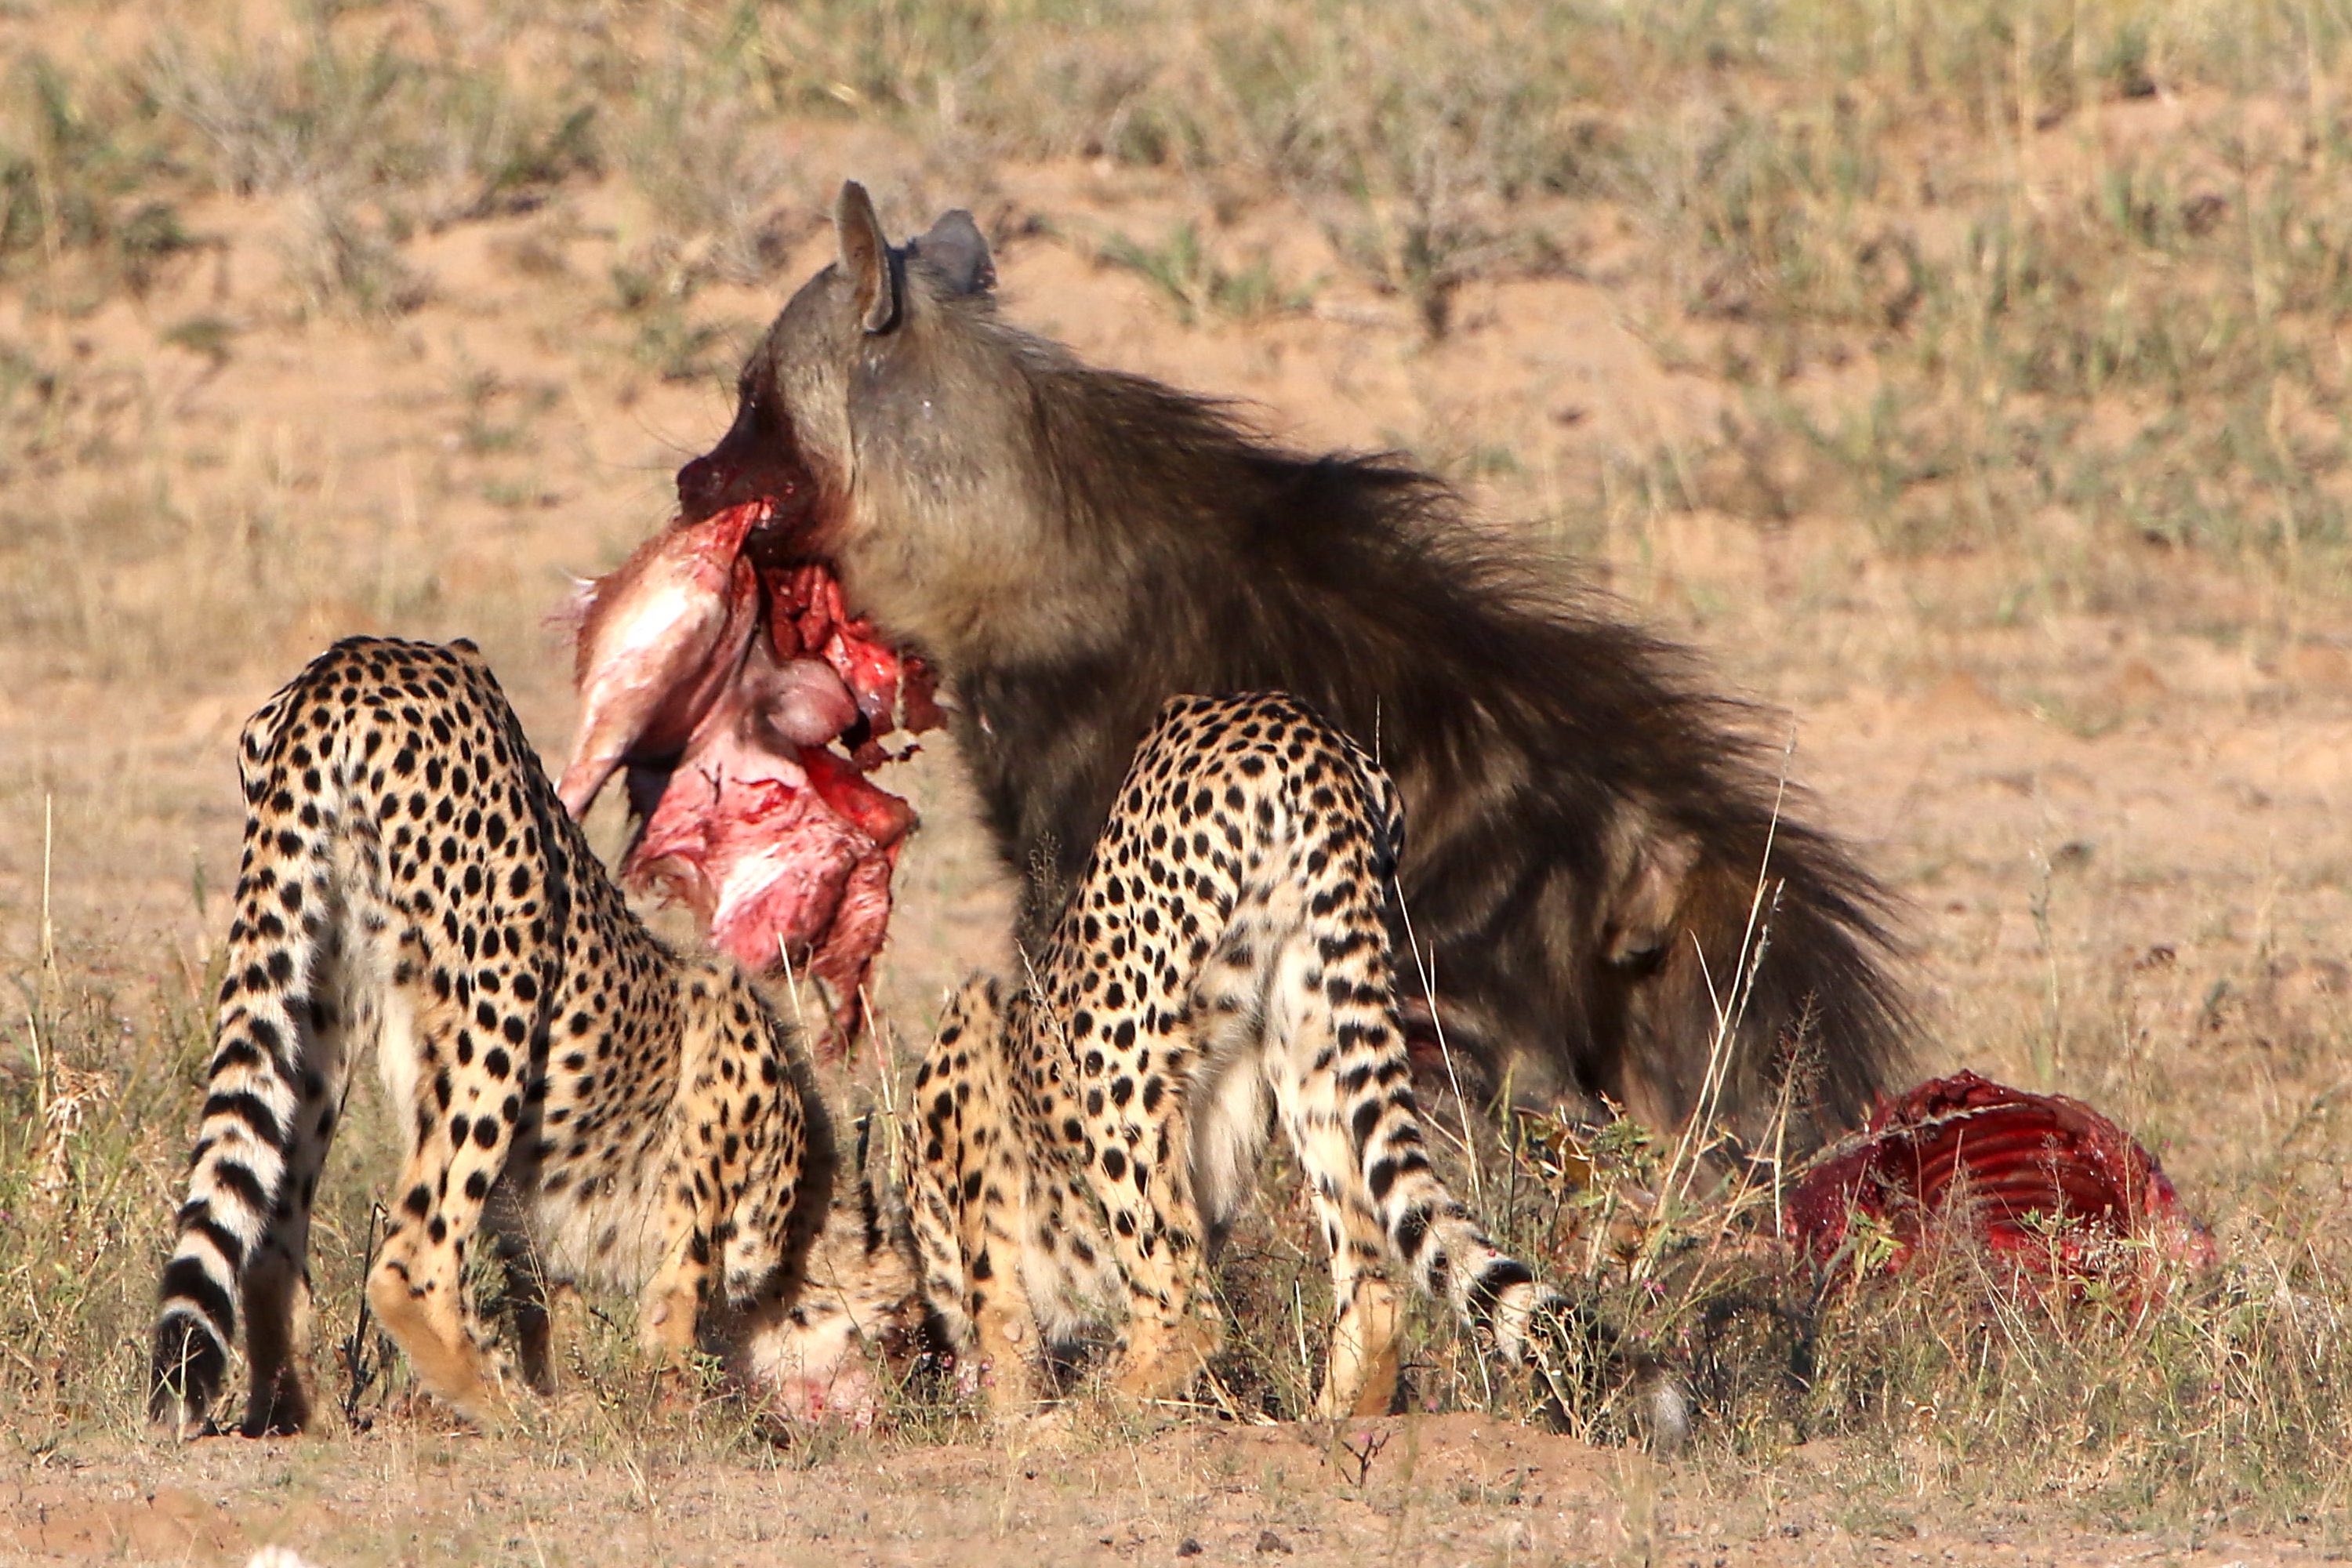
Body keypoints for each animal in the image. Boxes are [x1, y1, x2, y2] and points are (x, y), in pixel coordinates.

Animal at [147, 634, 917, 1439]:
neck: (809, 1204)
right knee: (412, 1260)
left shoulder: (536, 1231)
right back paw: (506, 1405)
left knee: (269, 1223)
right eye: (905, 1329)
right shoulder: (705, 1159)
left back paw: (294, 1410)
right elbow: (675, 1311)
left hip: (317, 988)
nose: (907, 1391)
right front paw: (674, 1413)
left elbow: (549, 1306)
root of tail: (355, 659)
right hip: (501, 979)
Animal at [889, 700, 1590, 1420]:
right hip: (1313, 1020)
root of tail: (1297, 724)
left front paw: (1015, 1418)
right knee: (1373, 1291)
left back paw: (1098, 1412)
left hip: (1108, 1034)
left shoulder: (967, 1070)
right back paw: (1332, 1424)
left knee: (1183, 1308)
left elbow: (1002, 1324)